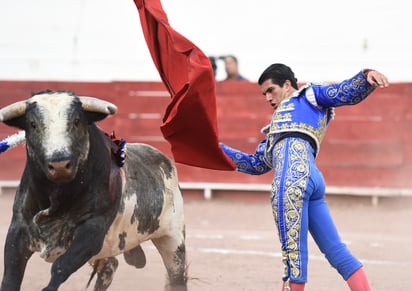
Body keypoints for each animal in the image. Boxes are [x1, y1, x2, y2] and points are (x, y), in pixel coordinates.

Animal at [0, 91, 187, 291]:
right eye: (33, 124)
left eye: (76, 121)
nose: (59, 164)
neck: (57, 195)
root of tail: (164, 160)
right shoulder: (19, 227)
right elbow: (11, 275)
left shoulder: (93, 230)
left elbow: (61, 266)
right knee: (109, 266)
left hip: (173, 240)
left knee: (177, 277)